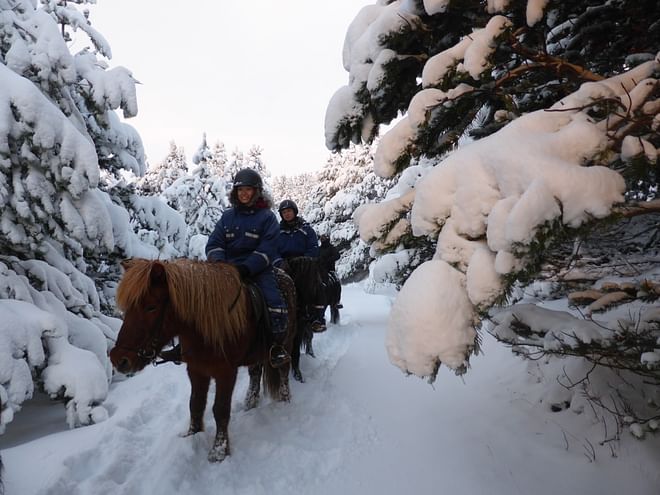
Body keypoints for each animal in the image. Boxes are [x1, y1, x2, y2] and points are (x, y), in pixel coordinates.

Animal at [109, 258, 297, 463]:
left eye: (151, 307)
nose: (119, 359)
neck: (204, 331)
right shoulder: (196, 370)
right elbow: (195, 404)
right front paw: (192, 435)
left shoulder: (226, 373)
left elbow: (220, 410)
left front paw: (219, 451)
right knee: (255, 373)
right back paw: (250, 402)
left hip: (285, 344)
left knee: (283, 371)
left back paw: (285, 400)